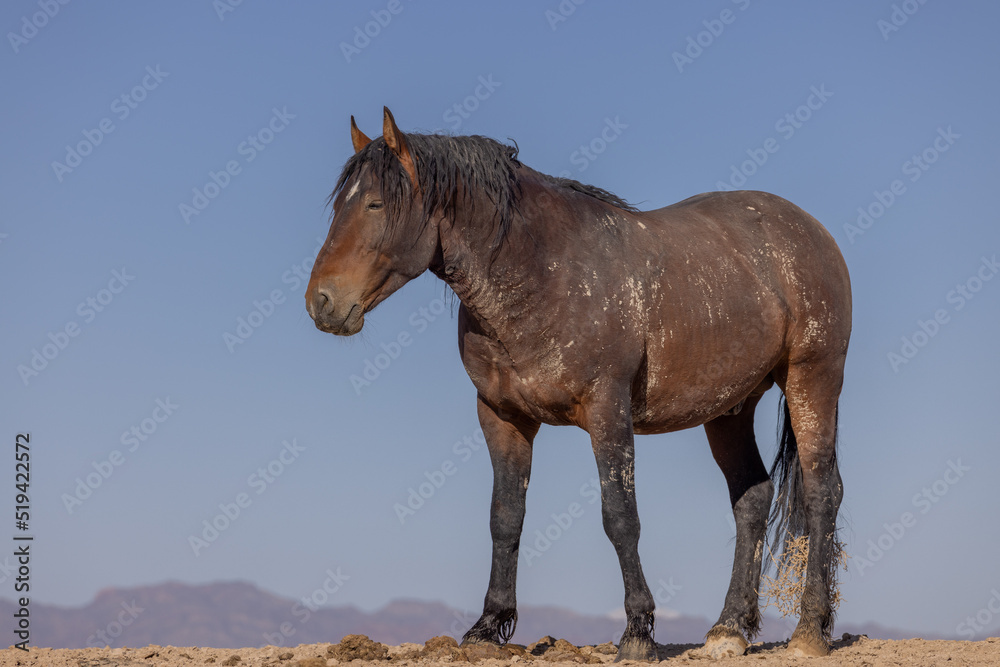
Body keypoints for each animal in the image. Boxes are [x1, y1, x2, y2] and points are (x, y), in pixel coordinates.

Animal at [305, 108, 851, 660]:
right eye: (340, 206)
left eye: (375, 203)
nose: (321, 302)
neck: (543, 272)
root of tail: (809, 230)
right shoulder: (502, 416)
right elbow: (505, 517)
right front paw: (487, 627)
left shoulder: (607, 410)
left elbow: (620, 517)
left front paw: (637, 631)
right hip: (730, 409)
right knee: (752, 498)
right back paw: (729, 629)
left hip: (813, 379)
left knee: (822, 491)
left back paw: (809, 631)